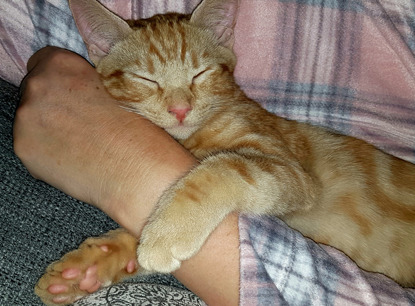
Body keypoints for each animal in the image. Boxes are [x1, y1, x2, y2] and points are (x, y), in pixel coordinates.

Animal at [36, 0, 415, 304]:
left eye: (200, 73)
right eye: (146, 80)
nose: (180, 109)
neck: (192, 138)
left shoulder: (294, 173)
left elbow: (224, 167)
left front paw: (167, 234)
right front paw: (91, 265)